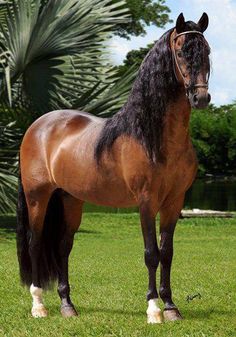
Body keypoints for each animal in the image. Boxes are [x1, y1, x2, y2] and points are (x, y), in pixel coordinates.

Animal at [17, 12, 212, 322]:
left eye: (207, 52)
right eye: (182, 52)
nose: (201, 98)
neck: (151, 135)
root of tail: (37, 126)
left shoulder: (174, 202)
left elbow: (167, 252)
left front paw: (171, 307)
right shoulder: (146, 201)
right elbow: (151, 253)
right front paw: (153, 309)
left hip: (70, 199)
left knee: (63, 247)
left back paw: (68, 305)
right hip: (38, 197)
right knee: (35, 243)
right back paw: (39, 306)